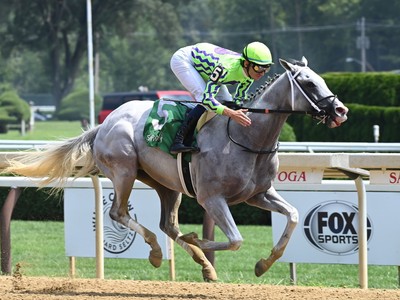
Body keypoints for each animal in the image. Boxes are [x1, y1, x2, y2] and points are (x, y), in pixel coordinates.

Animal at [3, 58, 346, 282]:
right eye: (309, 82)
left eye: (321, 78)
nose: (340, 110)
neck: (246, 137)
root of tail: (105, 123)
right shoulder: (212, 198)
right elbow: (235, 239)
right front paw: (201, 241)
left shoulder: (258, 194)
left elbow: (293, 216)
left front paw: (263, 263)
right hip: (125, 171)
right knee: (119, 213)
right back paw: (158, 252)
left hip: (166, 184)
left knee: (168, 225)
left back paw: (204, 266)